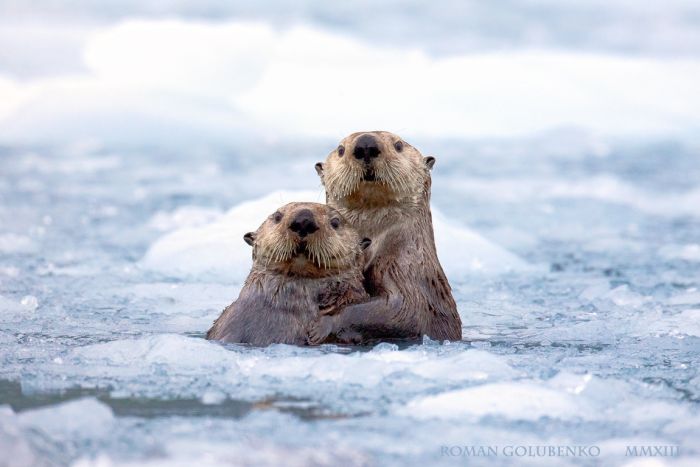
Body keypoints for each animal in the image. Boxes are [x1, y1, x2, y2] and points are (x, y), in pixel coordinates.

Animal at [308, 132, 462, 344]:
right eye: (340, 149)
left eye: (398, 145)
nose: (366, 145)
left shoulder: (403, 264)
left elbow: (403, 310)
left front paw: (322, 324)